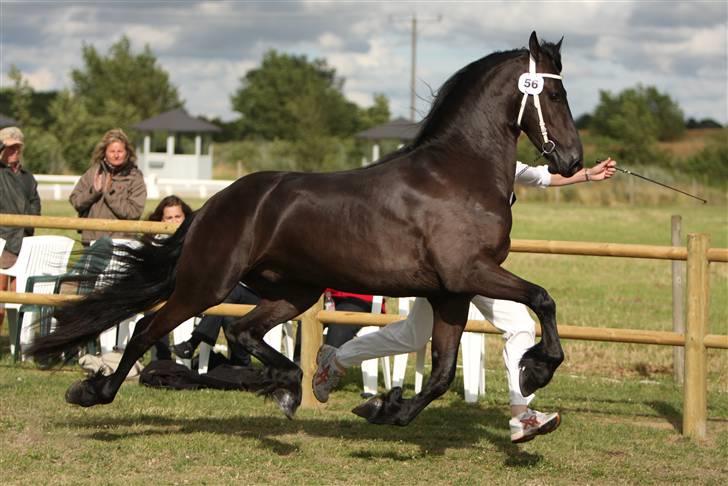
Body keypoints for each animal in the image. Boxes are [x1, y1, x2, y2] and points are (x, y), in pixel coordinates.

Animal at [31, 31, 584, 426]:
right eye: (555, 92)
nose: (573, 160)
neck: (456, 174)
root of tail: (214, 205)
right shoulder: (469, 272)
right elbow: (543, 299)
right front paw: (537, 367)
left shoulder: (452, 291)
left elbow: (443, 374)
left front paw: (385, 408)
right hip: (206, 284)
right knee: (150, 327)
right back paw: (93, 392)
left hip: (294, 290)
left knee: (241, 329)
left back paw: (289, 385)